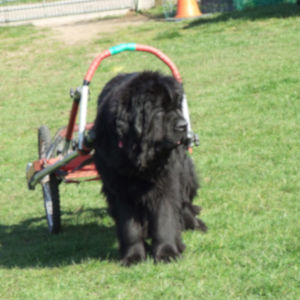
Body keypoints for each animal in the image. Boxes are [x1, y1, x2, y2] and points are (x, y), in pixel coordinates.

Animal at [94, 71, 206, 266]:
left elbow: (165, 219)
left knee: (184, 204)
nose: (184, 125)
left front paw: (167, 253)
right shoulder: (119, 190)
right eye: (159, 110)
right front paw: (133, 256)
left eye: (177, 107)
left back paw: (196, 225)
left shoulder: (167, 183)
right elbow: (129, 227)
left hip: (185, 174)